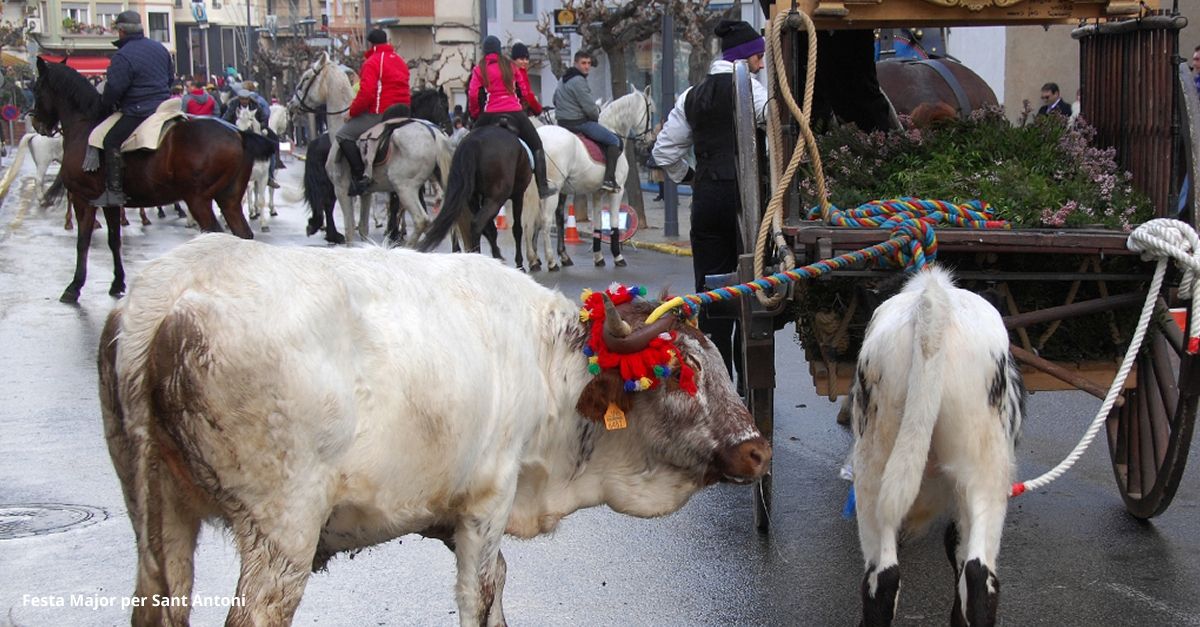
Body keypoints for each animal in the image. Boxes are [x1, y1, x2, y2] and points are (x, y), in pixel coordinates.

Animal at [31, 57, 276, 301]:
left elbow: (83, 242)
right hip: (229, 199)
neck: (85, 127)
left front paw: (74, 286)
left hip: (198, 199)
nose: (36, 123)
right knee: (243, 236)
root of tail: (238, 134)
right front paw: (117, 283)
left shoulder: (84, 198)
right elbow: (114, 240)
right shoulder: (109, 202)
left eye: (37, 87)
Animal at [290, 53, 453, 241]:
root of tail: (435, 134)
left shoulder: (343, 188)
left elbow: (355, 228)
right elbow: (366, 225)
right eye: (443, 105)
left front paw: (393, 232)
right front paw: (392, 231)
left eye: (305, 78)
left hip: (403, 185)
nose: (291, 104)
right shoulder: (366, 192)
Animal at [415, 121, 528, 258]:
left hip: (475, 198)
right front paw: (519, 261)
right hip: (496, 199)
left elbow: (491, 229)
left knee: (480, 226)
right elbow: (517, 229)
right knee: (477, 224)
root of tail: (473, 142)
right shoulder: (518, 195)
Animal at [525, 88, 657, 270]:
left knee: (531, 221)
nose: (649, 143)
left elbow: (598, 224)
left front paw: (598, 257)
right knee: (544, 221)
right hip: (552, 191)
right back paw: (551, 262)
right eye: (651, 111)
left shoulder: (596, 193)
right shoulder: (617, 191)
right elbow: (614, 223)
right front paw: (618, 256)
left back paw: (534, 260)